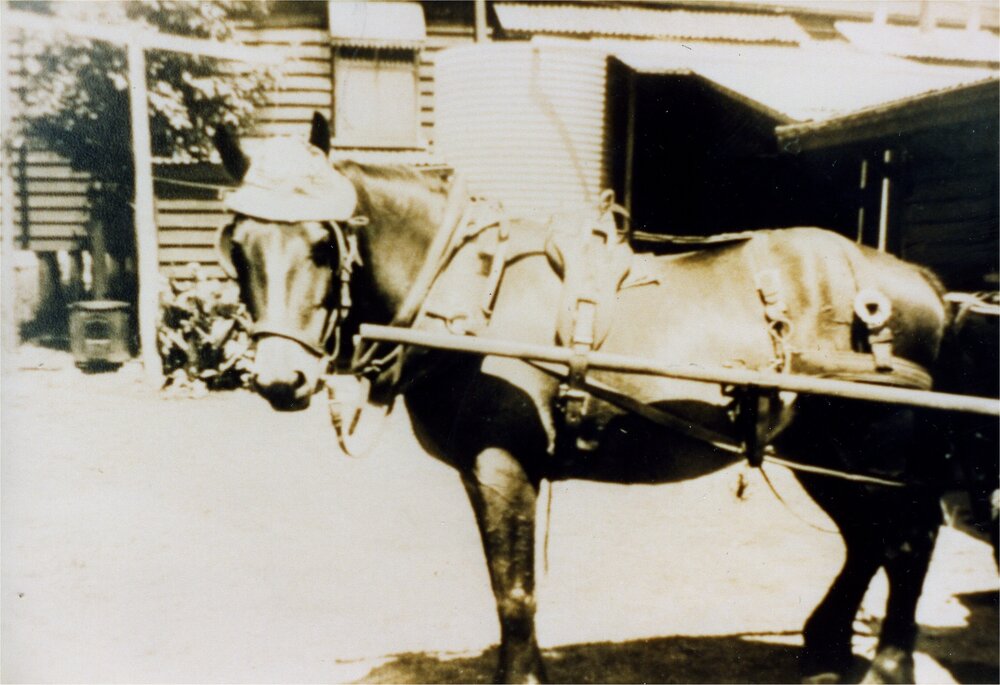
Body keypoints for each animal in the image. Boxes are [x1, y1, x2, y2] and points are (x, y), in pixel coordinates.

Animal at [212, 114, 959, 684]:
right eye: (239, 246)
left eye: (322, 243)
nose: (281, 379)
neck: (466, 290)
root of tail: (918, 280)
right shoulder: (484, 470)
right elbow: (507, 584)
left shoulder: (502, 463)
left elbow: (514, 590)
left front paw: (521, 676)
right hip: (822, 453)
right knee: (867, 540)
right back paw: (825, 644)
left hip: (871, 451)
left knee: (908, 538)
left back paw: (889, 663)